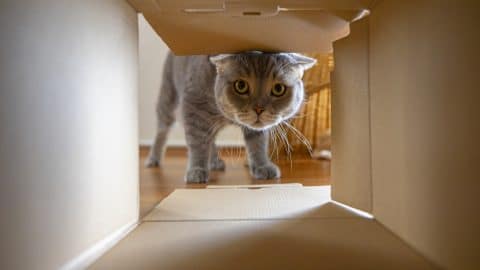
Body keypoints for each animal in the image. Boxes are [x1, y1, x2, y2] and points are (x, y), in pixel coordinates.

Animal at [146, 51, 318, 184]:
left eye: (278, 89)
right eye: (241, 86)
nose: (259, 108)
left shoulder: (256, 130)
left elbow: (258, 144)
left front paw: (262, 166)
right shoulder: (193, 108)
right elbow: (197, 142)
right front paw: (197, 170)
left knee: (211, 140)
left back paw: (214, 161)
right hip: (168, 99)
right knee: (162, 131)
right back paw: (153, 159)